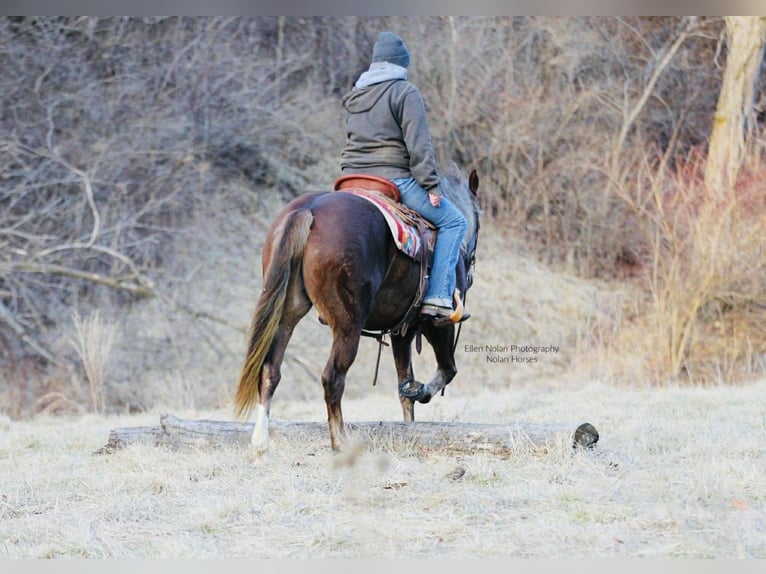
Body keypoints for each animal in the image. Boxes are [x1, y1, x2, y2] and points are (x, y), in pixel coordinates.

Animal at [234, 164, 480, 452]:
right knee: (332, 377)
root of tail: (309, 209)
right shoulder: (437, 325)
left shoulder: (401, 330)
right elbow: (446, 370)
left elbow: (404, 388)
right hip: (348, 324)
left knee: (270, 370)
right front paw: (423, 392)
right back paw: (340, 443)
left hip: (286, 312)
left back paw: (260, 441)